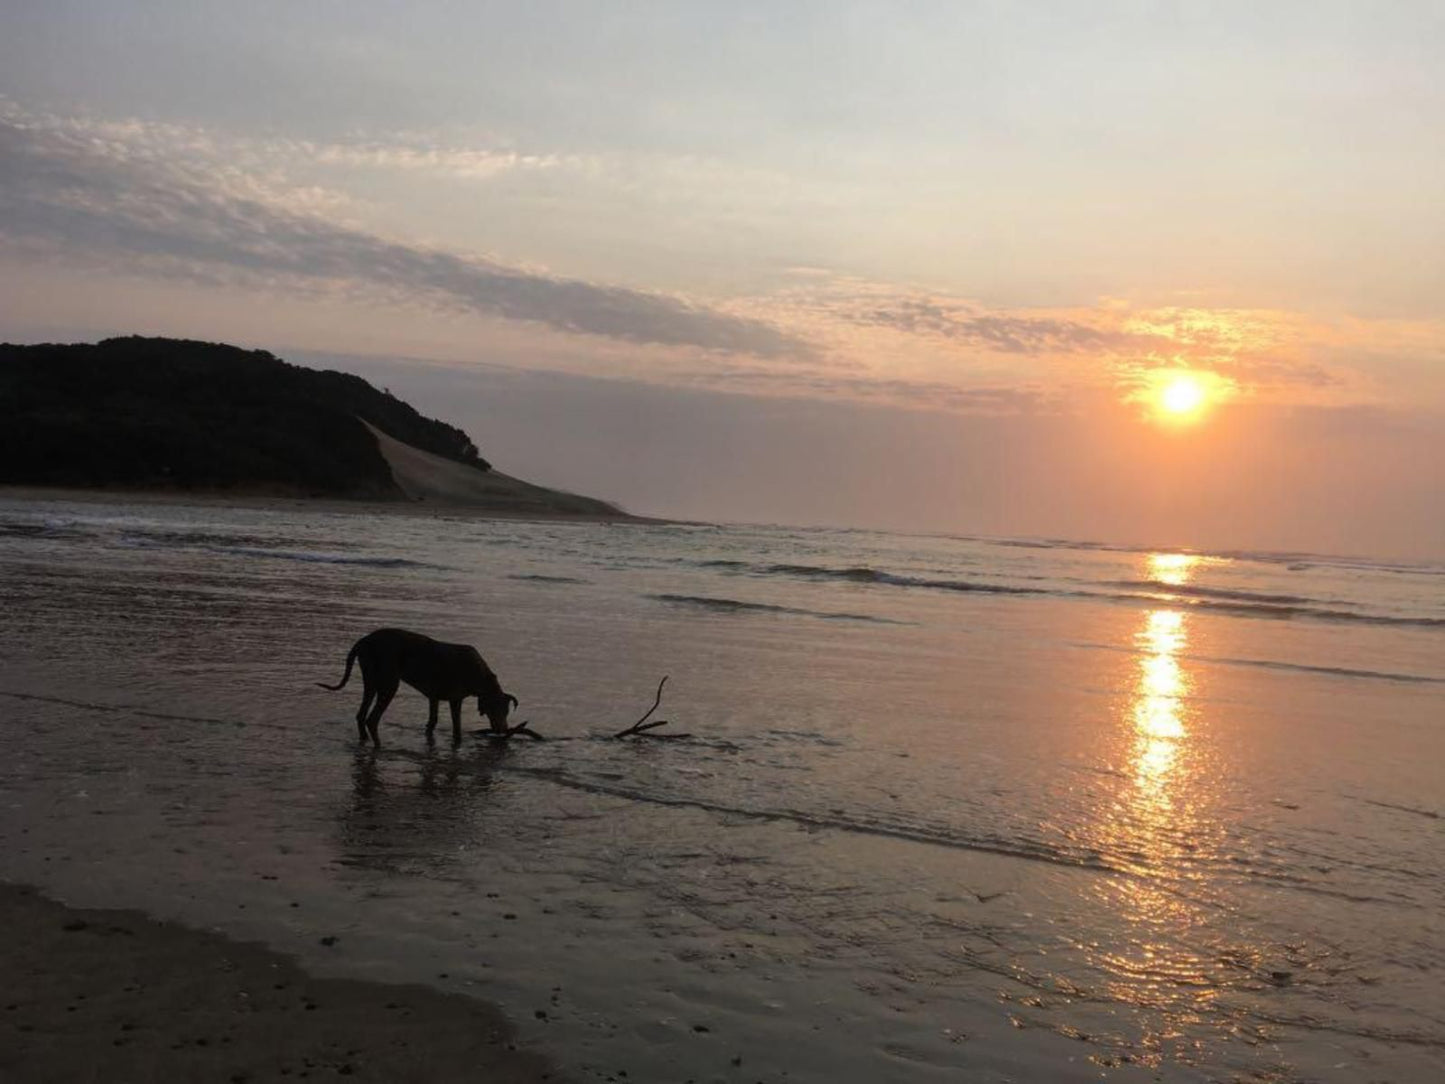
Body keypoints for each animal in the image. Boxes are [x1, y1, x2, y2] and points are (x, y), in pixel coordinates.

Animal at [320, 627, 520, 745]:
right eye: (496, 710)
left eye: (506, 712)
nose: (503, 730)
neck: (481, 675)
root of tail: (364, 640)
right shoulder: (455, 700)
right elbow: (455, 727)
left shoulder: (435, 697)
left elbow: (433, 721)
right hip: (389, 683)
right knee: (372, 719)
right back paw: (378, 746)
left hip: (370, 680)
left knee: (361, 715)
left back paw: (365, 741)